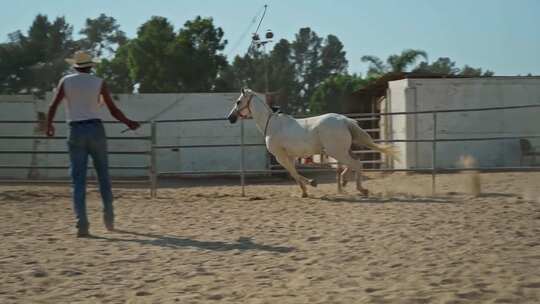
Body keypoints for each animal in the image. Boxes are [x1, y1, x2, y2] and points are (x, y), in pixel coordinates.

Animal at [226, 88, 398, 197]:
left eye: (238, 101)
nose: (230, 118)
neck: (272, 124)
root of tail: (344, 120)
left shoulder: (280, 156)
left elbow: (293, 172)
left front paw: (310, 184)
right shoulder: (290, 156)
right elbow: (294, 172)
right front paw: (305, 190)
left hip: (336, 151)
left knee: (356, 164)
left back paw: (361, 189)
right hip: (342, 151)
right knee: (356, 162)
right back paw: (345, 181)